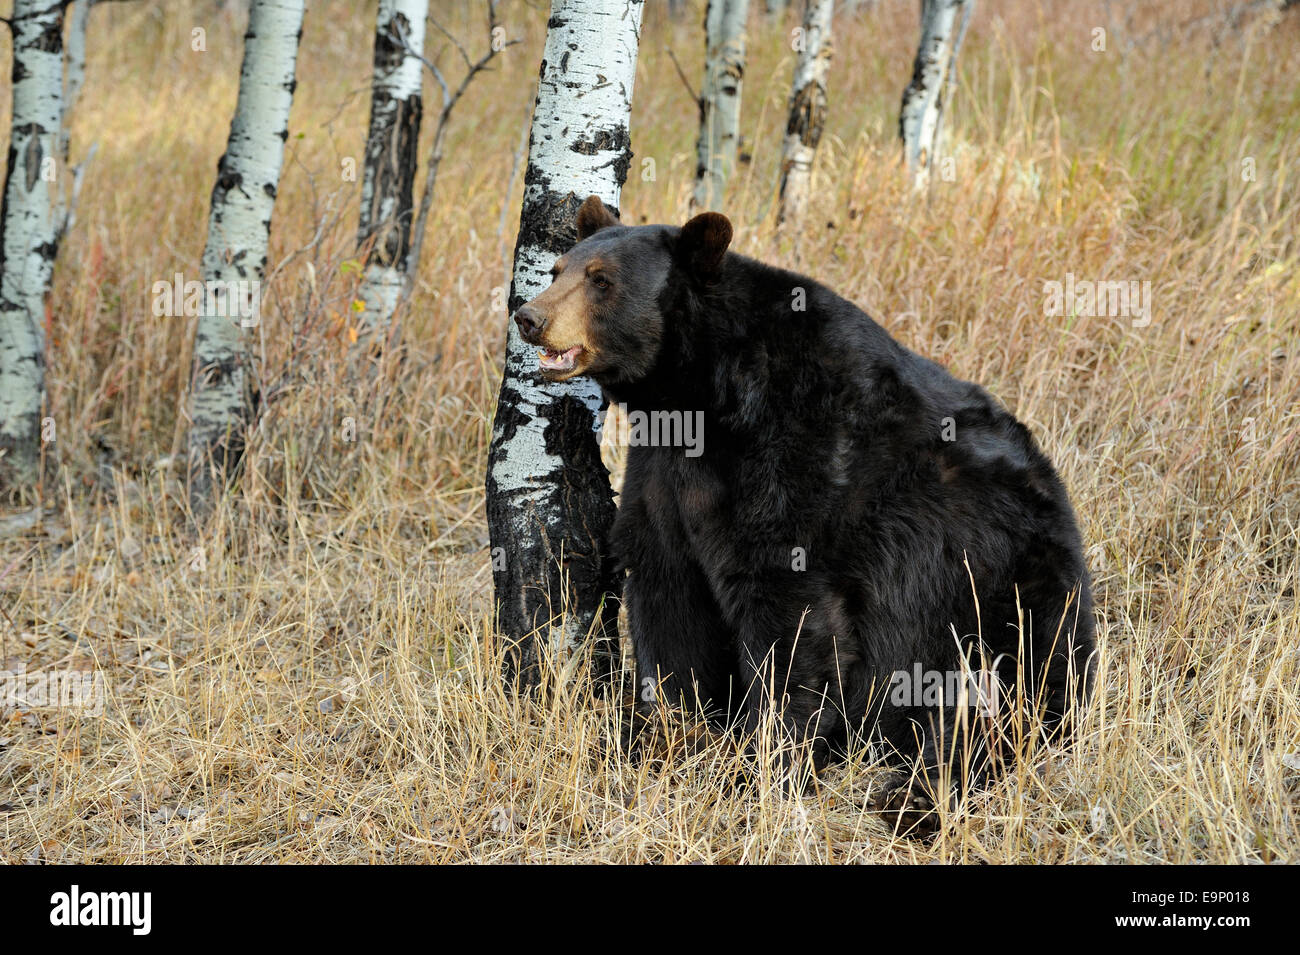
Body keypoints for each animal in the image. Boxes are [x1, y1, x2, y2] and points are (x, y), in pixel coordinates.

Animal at [512, 194, 1092, 800]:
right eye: (557, 271)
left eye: (601, 280)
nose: (530, 317)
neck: (701, 402)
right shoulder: (663, 477)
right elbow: (665, 591)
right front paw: (665, 735)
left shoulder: (799, 453)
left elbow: (788, 610)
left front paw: (762, 761)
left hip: (997, 582)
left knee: (1013, 683)